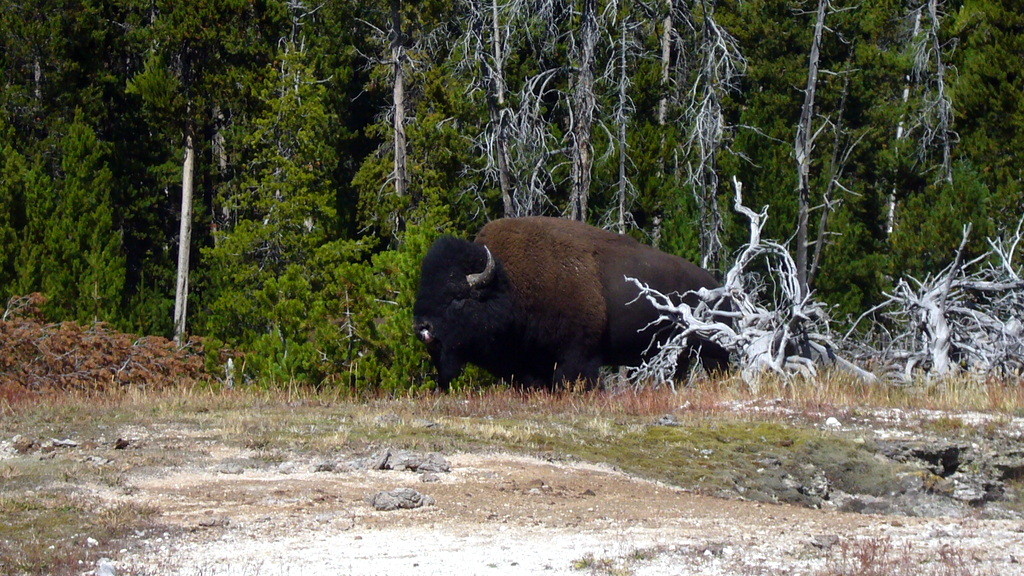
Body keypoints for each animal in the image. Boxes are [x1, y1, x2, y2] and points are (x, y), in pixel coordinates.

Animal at [409, 216, 729, 389]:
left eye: (457, 297)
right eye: (425, 289)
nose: (423, 327)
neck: (509, 283)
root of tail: (715, 285)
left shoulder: (577, 357)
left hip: (710, 350)